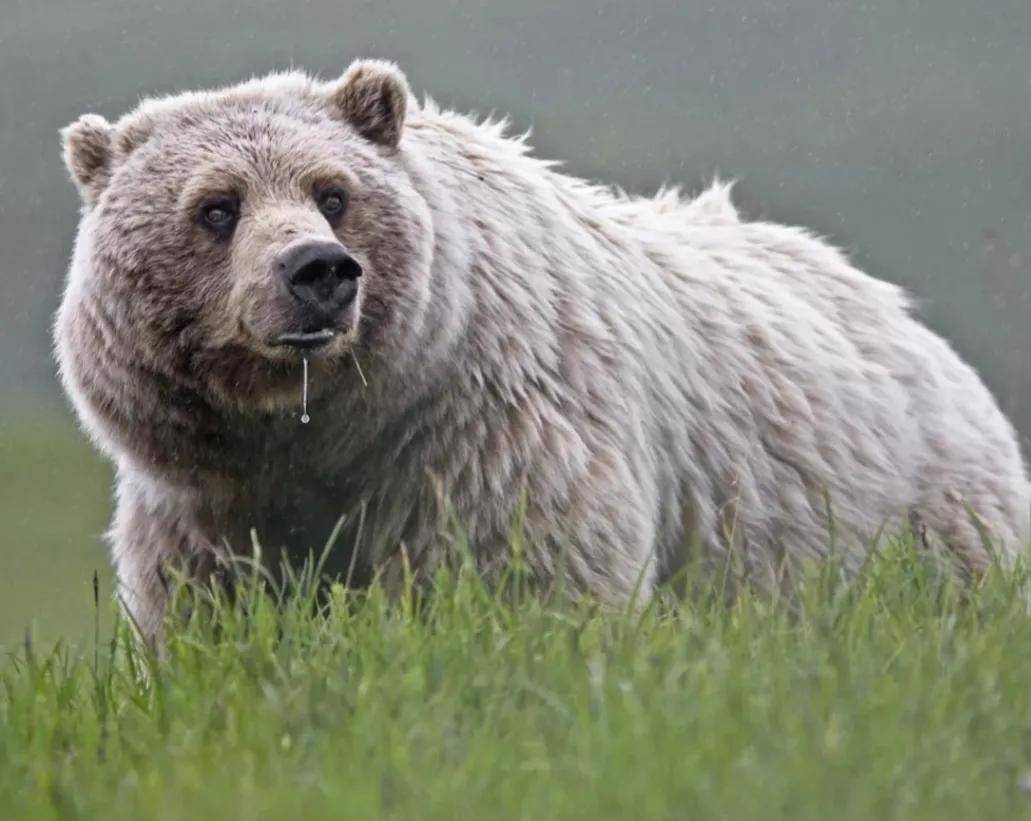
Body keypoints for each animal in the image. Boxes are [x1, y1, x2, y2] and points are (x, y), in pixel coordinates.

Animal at [56, 59, 1030, 639]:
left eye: (332, 193)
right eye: (216, 207)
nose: (317, 271)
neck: (330, 429)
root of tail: (908, 318)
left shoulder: (486, 434)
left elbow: (528, 578)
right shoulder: (211, 504)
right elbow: (219, 615)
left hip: (912, 515)